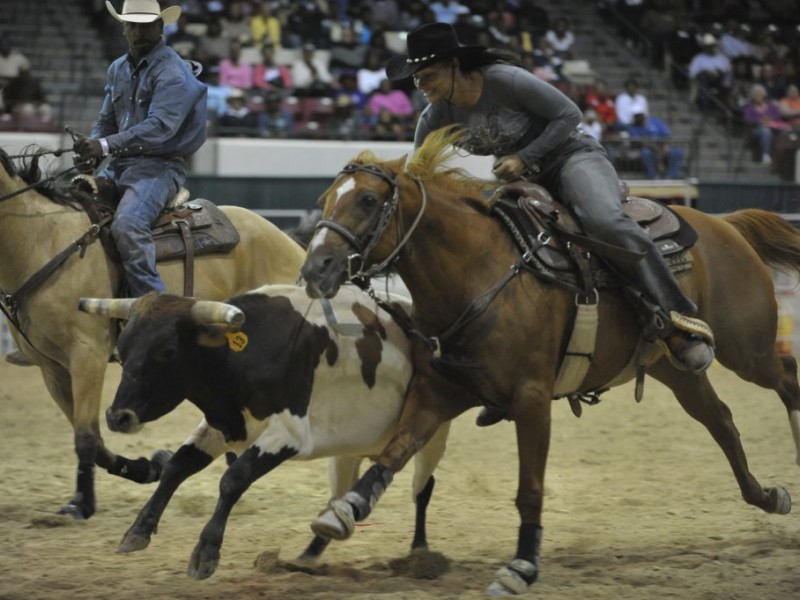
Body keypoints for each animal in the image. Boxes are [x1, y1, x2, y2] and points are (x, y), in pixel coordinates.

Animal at [0, 146, 306, 520]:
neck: (43, 240)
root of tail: (288, 242)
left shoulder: (86, 356)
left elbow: (86, 437)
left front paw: (84, 502)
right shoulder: (52, 369)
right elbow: (93, 439)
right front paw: (146, 468)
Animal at [298, 127, 800, 596]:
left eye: (367, 199)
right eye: (325, 199)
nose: (314, 269)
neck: (478, 274)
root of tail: (724, 224)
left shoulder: (532, 400)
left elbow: (530, 488)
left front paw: (521, 567)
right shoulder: (439, 393)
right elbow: (394, 452)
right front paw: (342, 511)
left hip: (747, 349)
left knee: (787, 379)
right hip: (676, 369)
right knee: (722, 421)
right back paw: (767, 496)